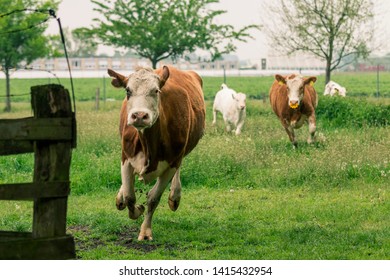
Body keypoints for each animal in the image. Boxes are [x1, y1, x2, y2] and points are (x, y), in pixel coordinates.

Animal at [106, 65, 204, 241]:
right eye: (128, 91)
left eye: (156, 91)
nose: (139, 115)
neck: (148, 144)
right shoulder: (126, 158)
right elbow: (130, 196)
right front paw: (136, 207)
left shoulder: (172, 162)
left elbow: (153, 198)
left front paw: (145, 231)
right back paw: (120, 196)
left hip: (180, 154)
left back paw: (175, 196)